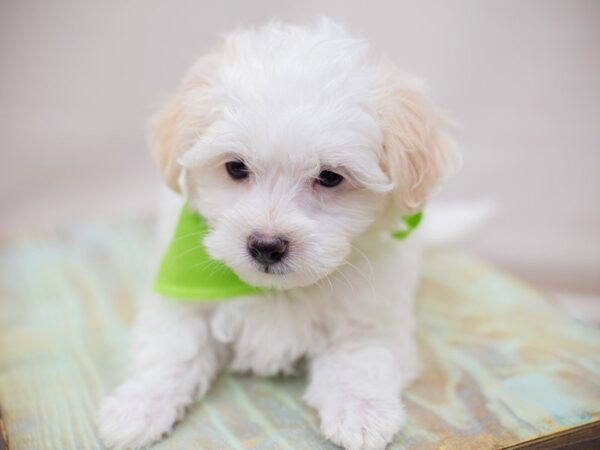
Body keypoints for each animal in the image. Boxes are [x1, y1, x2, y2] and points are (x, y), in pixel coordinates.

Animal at [97, 19, 460, 450]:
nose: (266, 246)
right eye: (236, 168)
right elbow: (171, 348)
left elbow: (359, 358)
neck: (274, 292)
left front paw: (361, 413)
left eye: (330, 177)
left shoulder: (371, 315)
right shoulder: (179, 292)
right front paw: (137, 407)